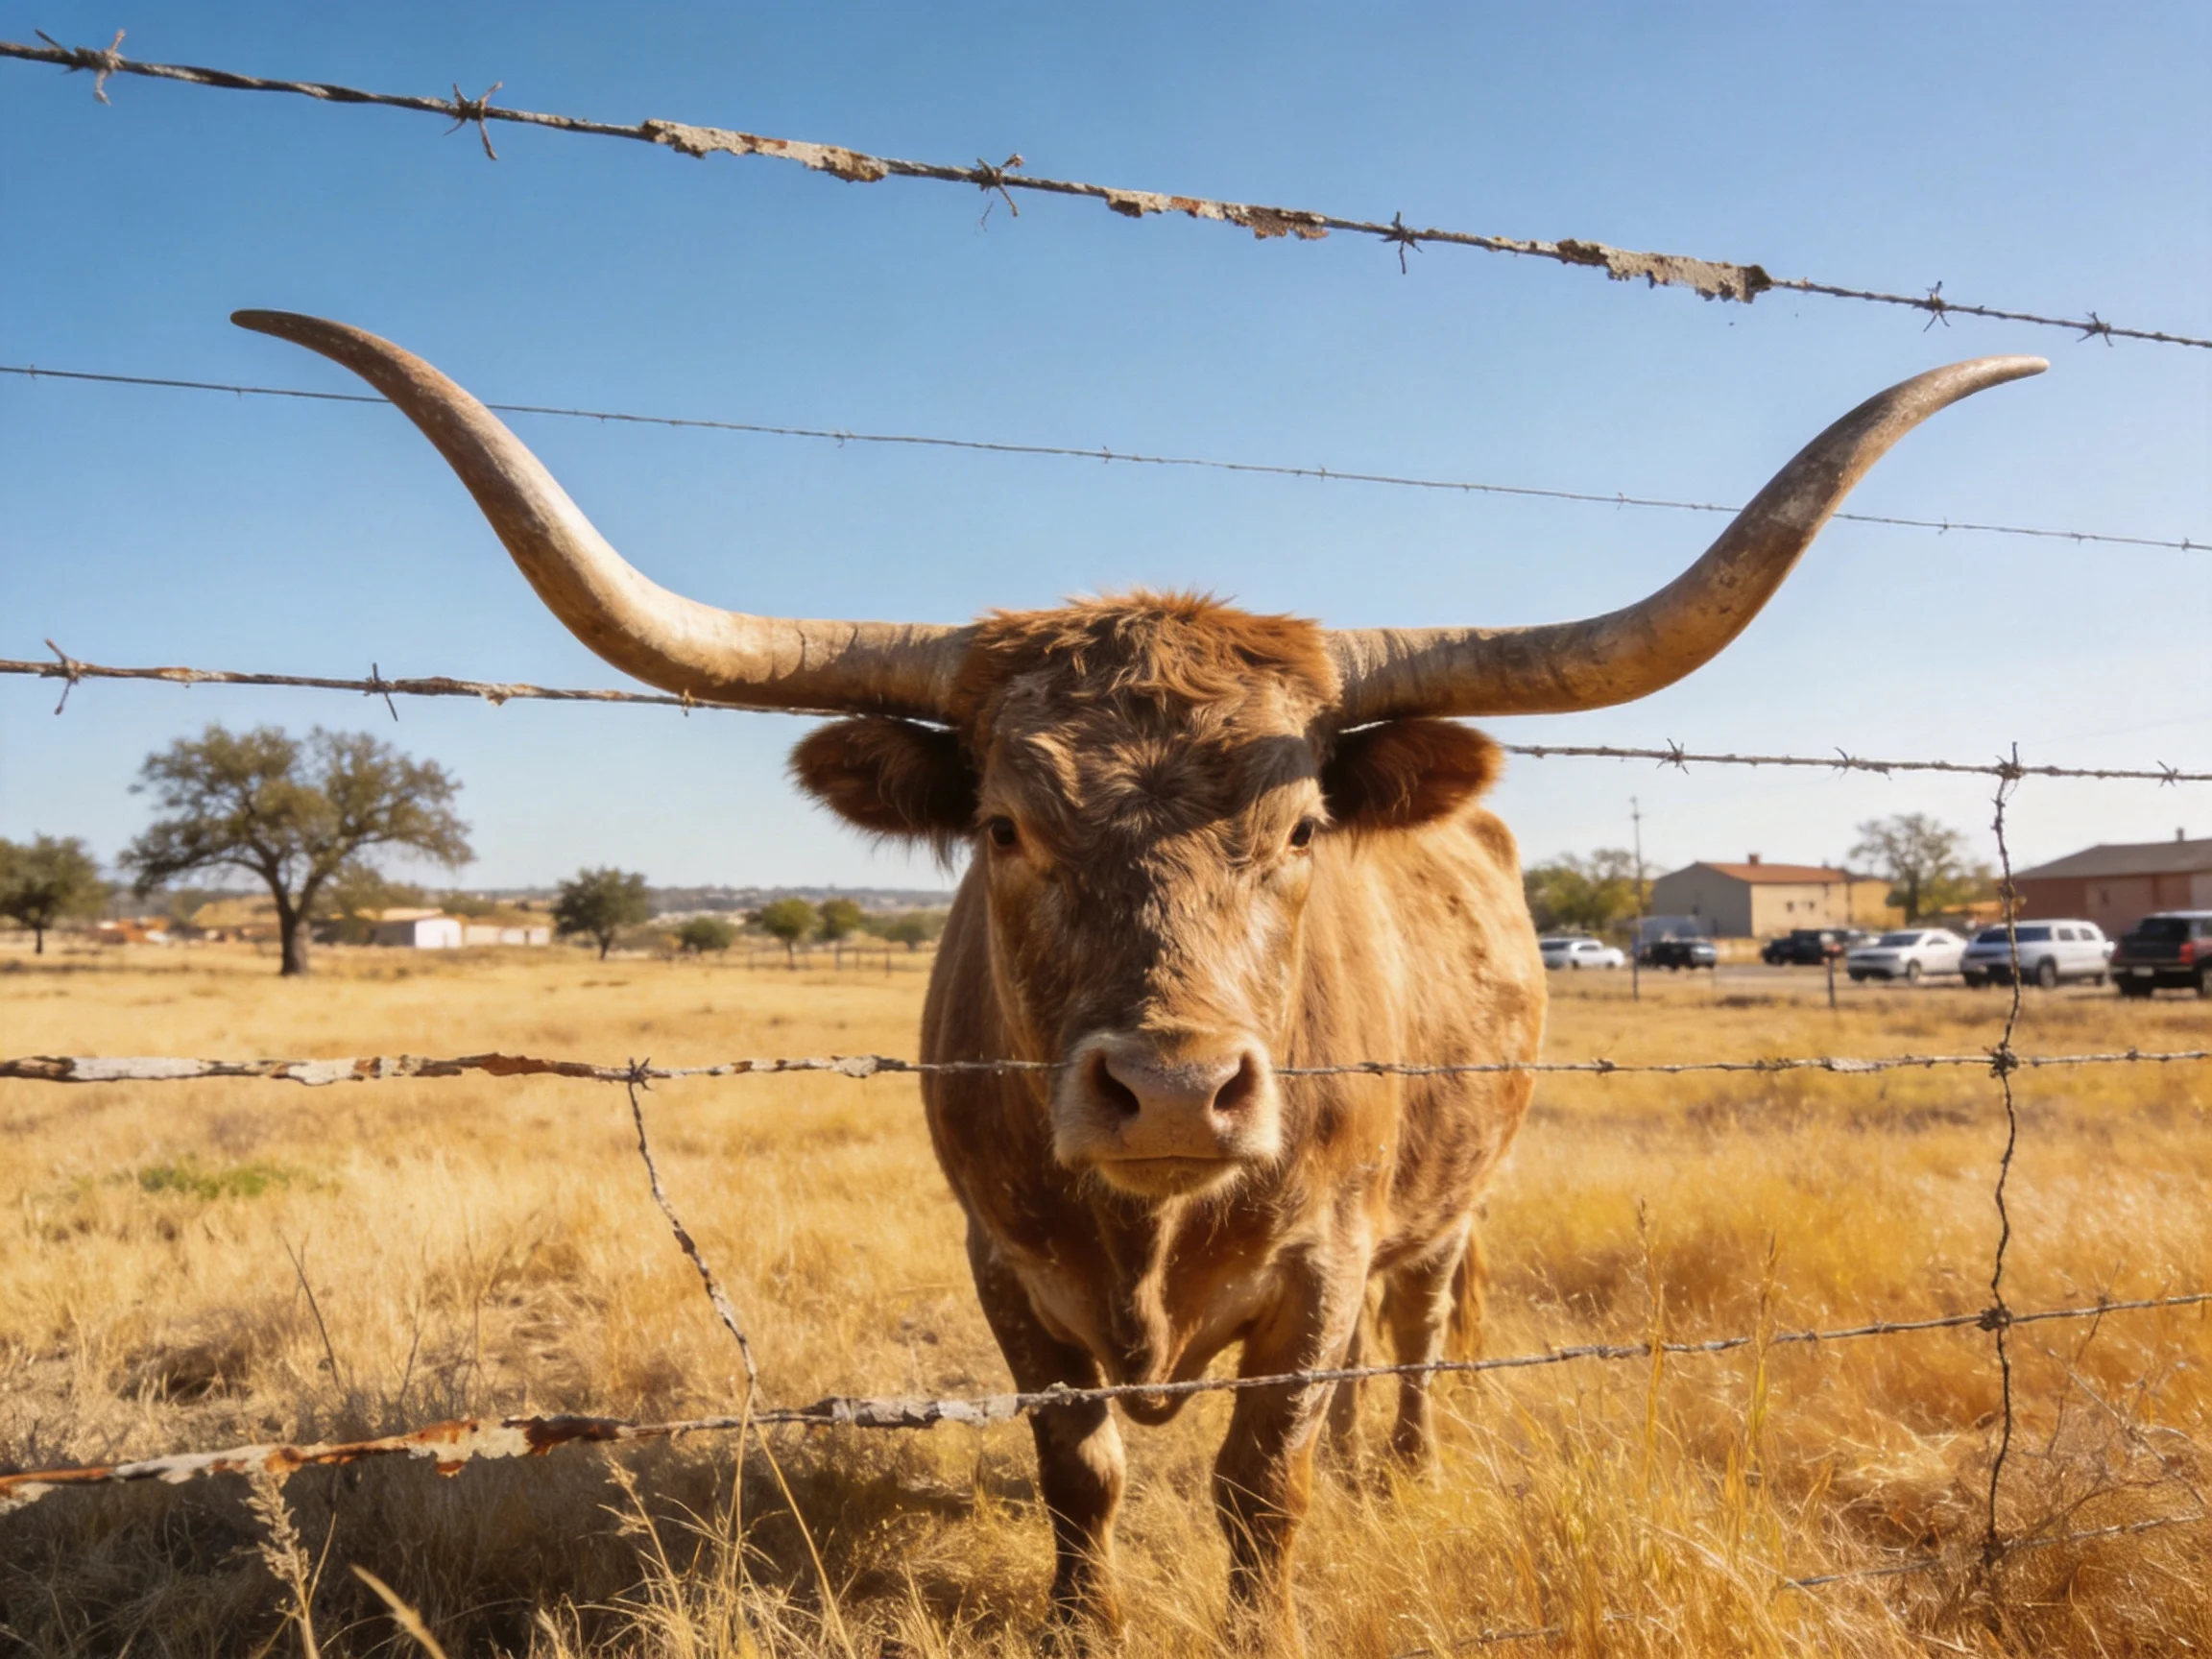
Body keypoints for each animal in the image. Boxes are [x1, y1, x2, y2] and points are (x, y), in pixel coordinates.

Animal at [232, 311, 2040, 1645]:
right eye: (1005, 824)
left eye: (1301, 823)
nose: (1174, 1086)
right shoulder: (1004, 1267)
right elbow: (1081, 1466)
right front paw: (1080, 1620)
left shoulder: (1316, 1264)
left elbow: (1261, 1475)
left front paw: (1265, 1613)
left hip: (1452, 1200)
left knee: (1421, 1332)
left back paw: (1407, 1465)